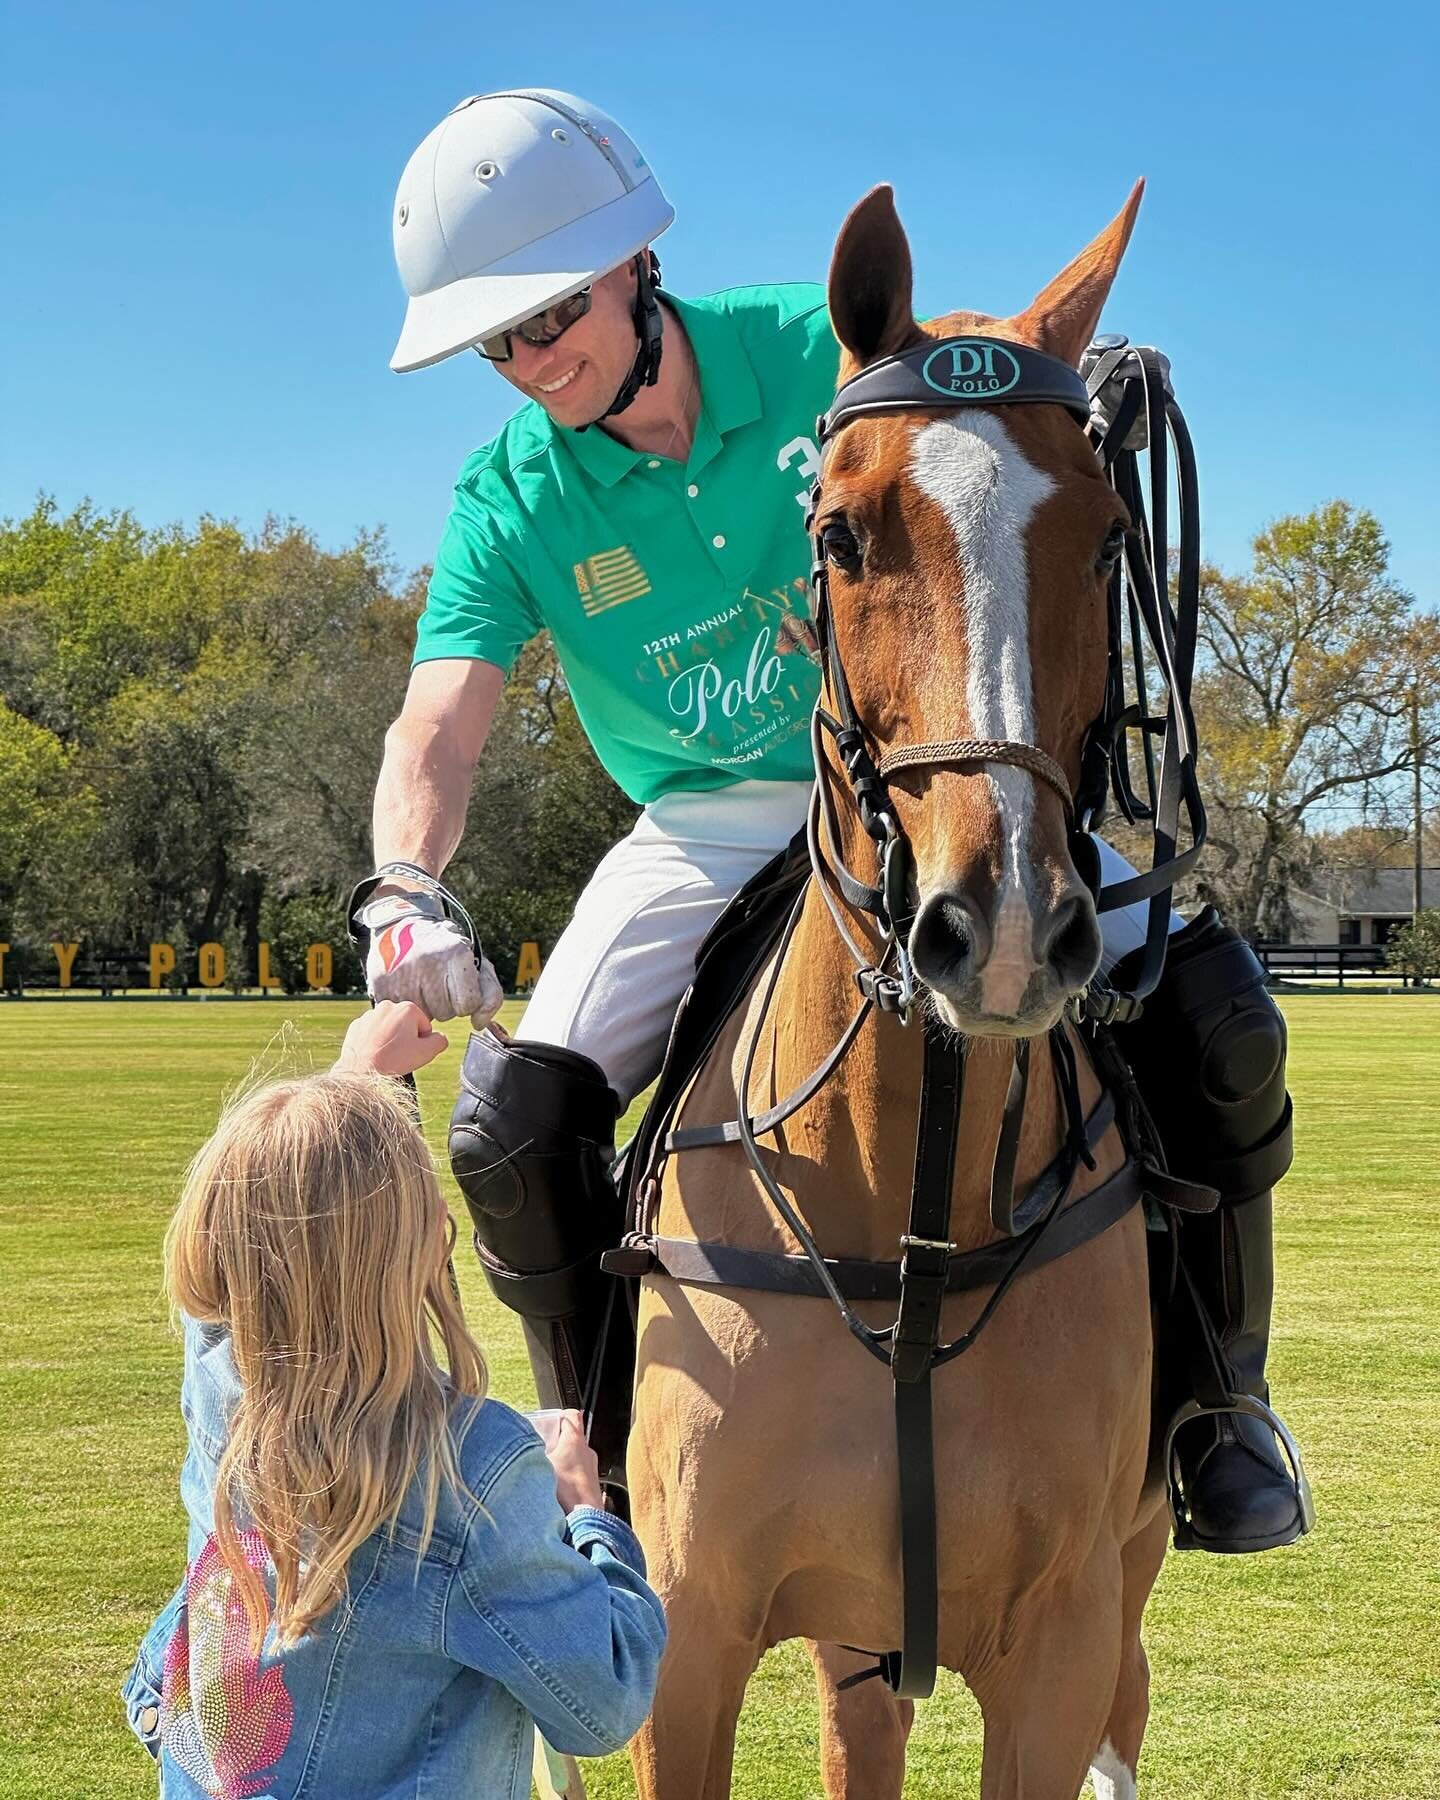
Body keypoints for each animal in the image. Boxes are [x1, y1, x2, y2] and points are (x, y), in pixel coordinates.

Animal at [630, 186, 1166, 1800]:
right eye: (838, 532)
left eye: (1107, 537)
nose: (1001, 929)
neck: (902, 1212)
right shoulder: (685, 1639)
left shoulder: (1059, 1642)